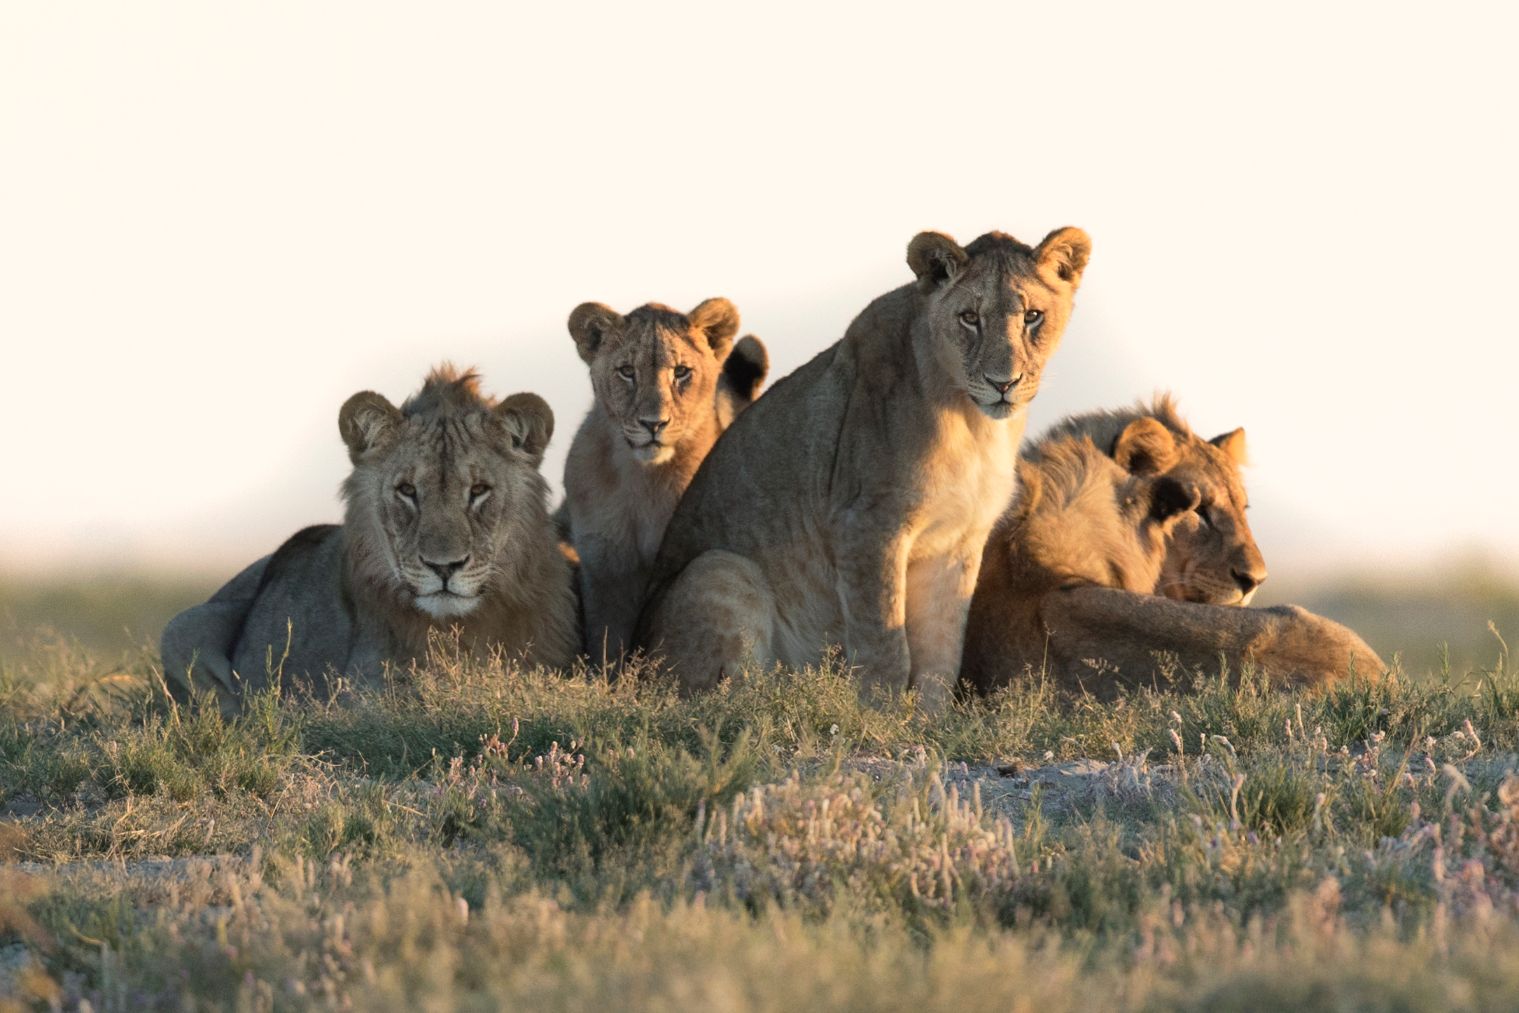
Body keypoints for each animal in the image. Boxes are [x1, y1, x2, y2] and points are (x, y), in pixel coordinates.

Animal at [160, 366, 574, 713]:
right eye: (407, 490)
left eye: (478, 491)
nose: (444, 568)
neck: (457, 630)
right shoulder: (361, 699)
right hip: (180, 627)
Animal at [562, 297, 771, 662]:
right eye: (627, 372)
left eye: (681, 372)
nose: (653, 424)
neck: (642, 481)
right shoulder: (604, 569)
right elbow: (607, 643)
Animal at [631, 227, 1093, 713]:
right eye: (969, 318)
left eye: (1033, 317)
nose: (1003, 383)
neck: (974, 424)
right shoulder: (867, 525)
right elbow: (885, 645)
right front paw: (879, 718)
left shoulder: (958, 541)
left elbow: (941, 653)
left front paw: (931, 722)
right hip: (720, 569)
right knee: (721, 701)